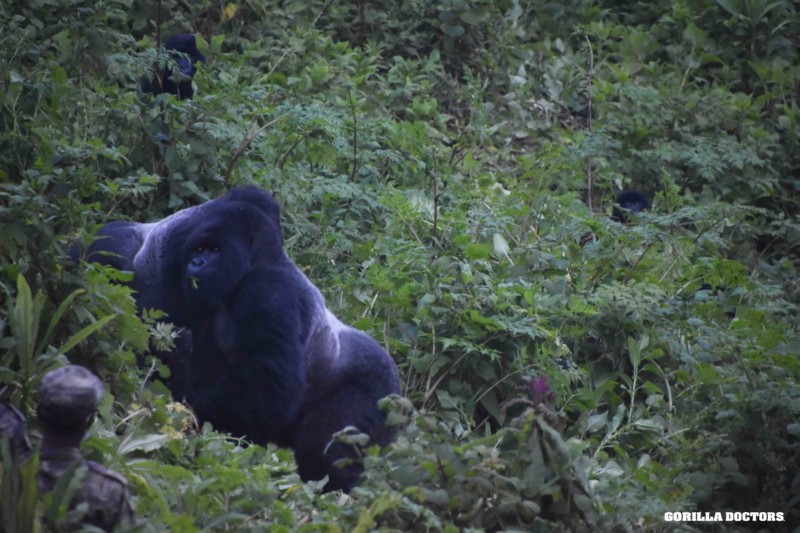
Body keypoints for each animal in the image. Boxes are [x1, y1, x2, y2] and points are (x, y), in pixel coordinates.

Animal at [85, 187, 404, 490]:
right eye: (199, 248)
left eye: (214, 249)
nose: (196, 262)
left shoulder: (268, 293)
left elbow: (266, 398)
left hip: (377, 391)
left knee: (329, 447)